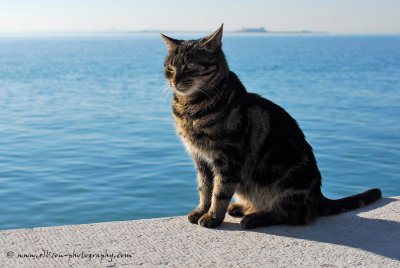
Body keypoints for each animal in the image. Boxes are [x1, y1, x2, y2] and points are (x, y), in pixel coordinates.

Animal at [159, 24, 382, 228]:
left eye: (189, 66)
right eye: (169, 68)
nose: (174, 81)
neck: (190, 108)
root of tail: (319, 196)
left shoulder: (227, 157)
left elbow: (219, 192)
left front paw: (212, 217)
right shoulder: (200, 159)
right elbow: (205, 189)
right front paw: (200, 211)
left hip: (286, 183)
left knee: (297, 215)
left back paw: (256, 217)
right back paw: (242, 207)